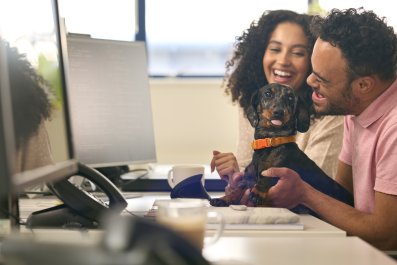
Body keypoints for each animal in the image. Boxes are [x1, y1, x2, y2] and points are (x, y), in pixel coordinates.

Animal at [210, 83, 352, 213]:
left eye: (290, 98)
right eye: (268, 94)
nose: (279, 112)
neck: (271, 142)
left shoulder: (278, 169)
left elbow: (265, 176)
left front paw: (257, 191)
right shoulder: (247, 178)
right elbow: (238, 188)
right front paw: (224, 199)